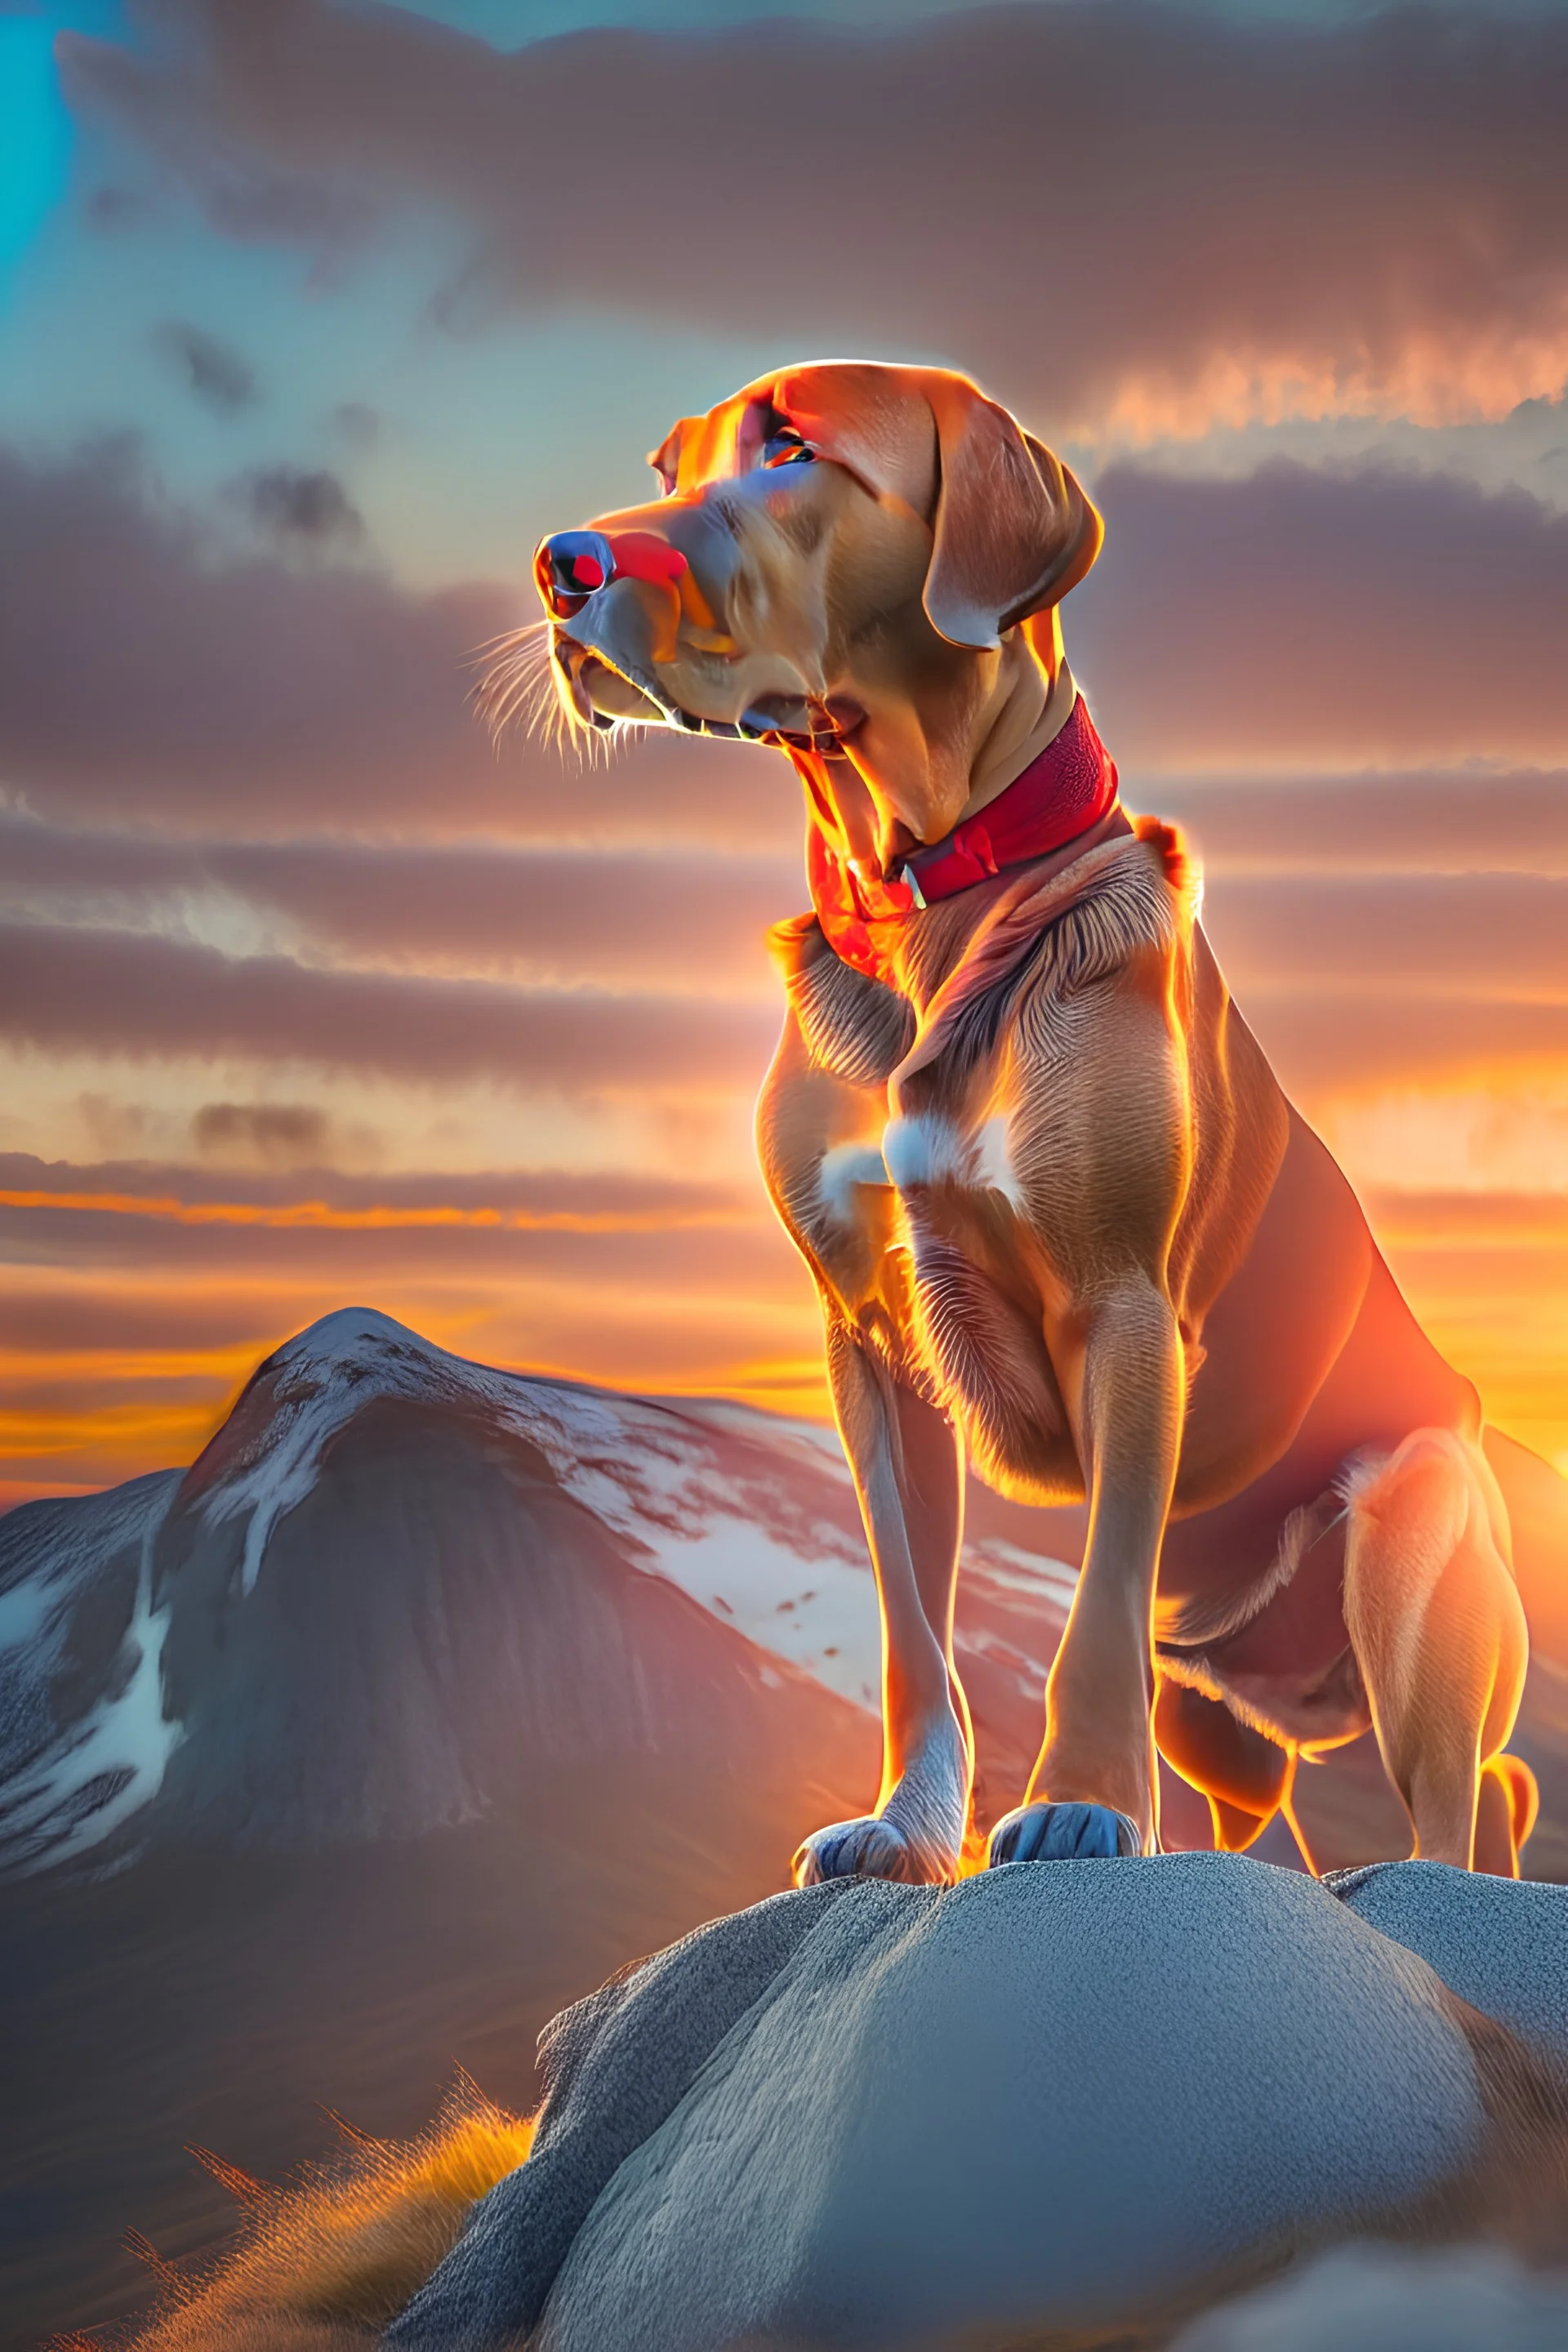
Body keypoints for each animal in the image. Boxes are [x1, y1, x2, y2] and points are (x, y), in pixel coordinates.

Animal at [512, 357, 1532, 1882]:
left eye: (793, 451)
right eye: (668, 464)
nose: (558, 567)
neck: (928, 892)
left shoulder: (1122, 1308)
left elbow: (1094, 1610)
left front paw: (1083, 1803)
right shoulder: (868, 1343)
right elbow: (914, 1639)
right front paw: (903, 1827)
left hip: (1415, 1539)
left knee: (1461, 1801)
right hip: (1220, 1718)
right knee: (1289, 1811)